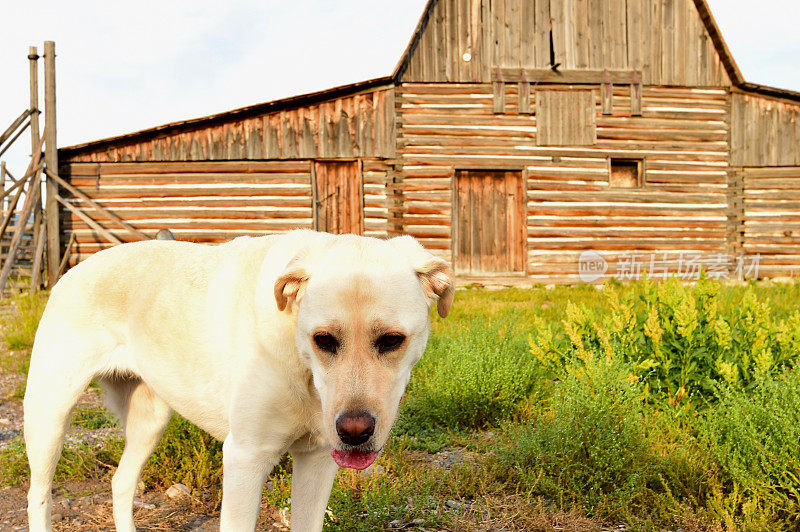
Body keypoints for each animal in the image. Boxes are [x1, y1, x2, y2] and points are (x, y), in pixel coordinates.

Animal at [21, 232, 454, 532]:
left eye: (392, 340)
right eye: (323, 339)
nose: (354, 432)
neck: (299, 359)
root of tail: (71, 270)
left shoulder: (316, 460)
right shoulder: (245, 460)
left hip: (150, 420)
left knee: (120, 482)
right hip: (48, 417)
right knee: (38, 495)